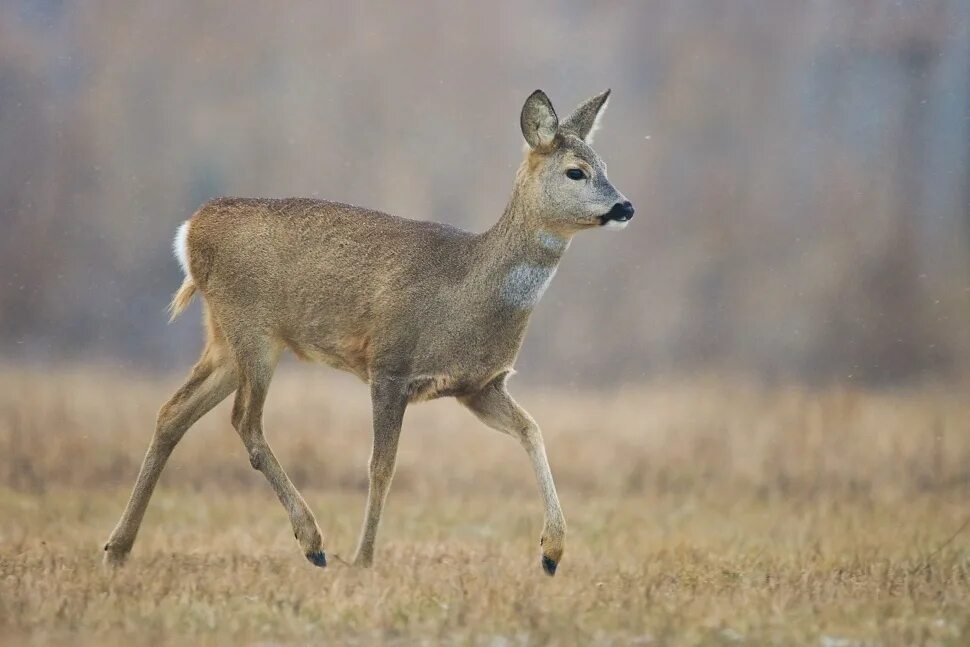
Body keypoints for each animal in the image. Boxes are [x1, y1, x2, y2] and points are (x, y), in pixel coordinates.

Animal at [104, 87, 636, 576]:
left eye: (605, 164)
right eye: (576, 171)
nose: (625, 206)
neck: (468, 288)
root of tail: (190, 231)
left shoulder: (479, 386)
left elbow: (532, 429)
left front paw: (551, 551)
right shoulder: (390, 365)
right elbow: (382, 466)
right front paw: (362, 559)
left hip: (228, 340)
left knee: (174, 412)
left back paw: (118, 548)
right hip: (251, 328)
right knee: (245, 422)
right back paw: (313, 543)